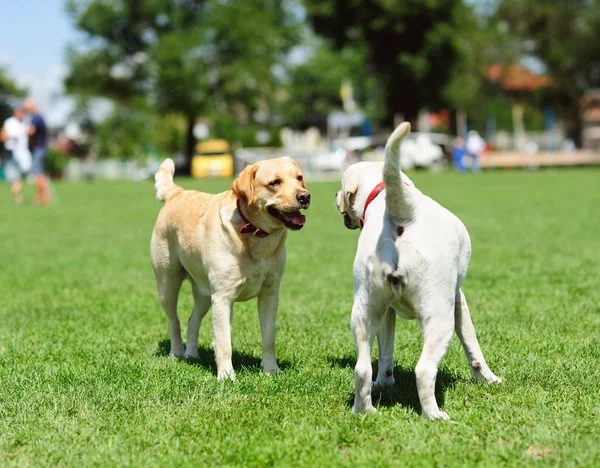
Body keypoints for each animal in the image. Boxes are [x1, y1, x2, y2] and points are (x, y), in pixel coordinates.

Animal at [151, 157, 310, 380]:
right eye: (274, 182)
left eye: (299, 178)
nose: (305, 196)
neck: (255, 232)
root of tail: (177, 193)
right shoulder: (222, 297)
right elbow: (224, 343)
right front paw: (226, 377)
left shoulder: (270, 295)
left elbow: (268, 338)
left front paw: (271, 369)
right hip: (168, 285)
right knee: (174, 321)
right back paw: (177, 353)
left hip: (203, 292)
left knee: (192, 320)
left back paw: (191, 354)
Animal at [336, 122, 500, 418]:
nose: (334, 196)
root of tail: (402, 214)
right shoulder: (458, 300)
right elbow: (473, 347)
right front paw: (489, 379)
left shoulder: (387, 312)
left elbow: (386, 354)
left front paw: (385, 383)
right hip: (439, 318)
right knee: (424, 370)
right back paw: (434, 415)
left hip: (364, 312)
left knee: (362, 369)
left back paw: (365, 410)